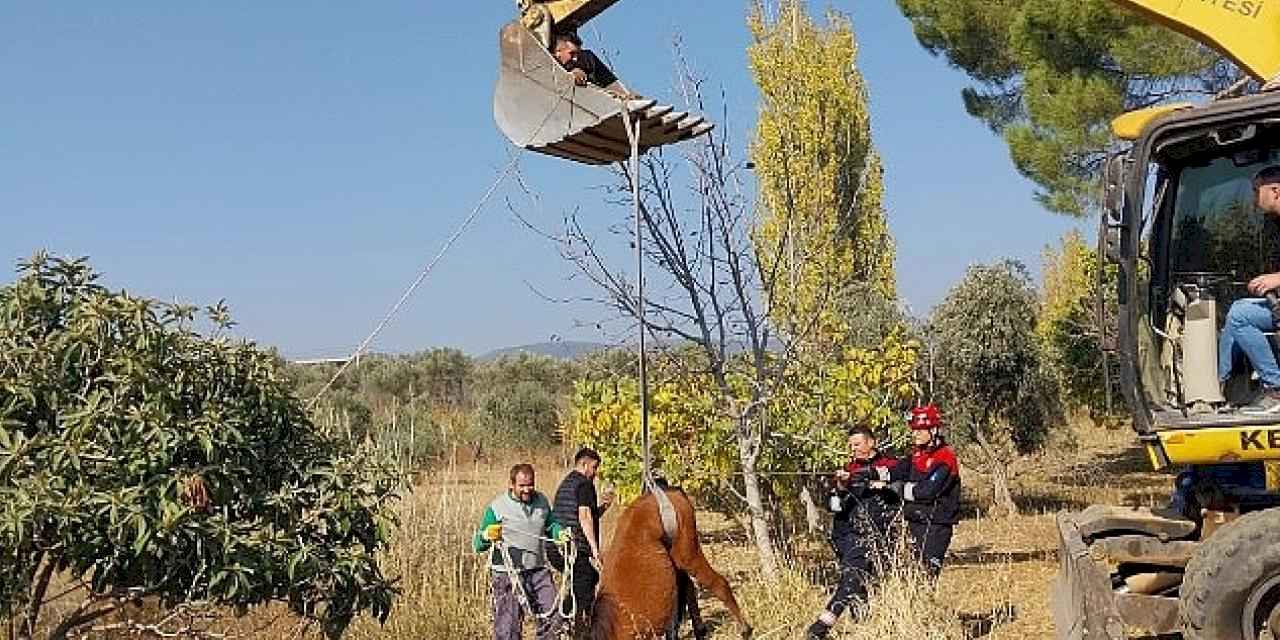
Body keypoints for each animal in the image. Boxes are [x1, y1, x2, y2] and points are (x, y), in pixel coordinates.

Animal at [588, 486, 747, 637]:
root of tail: (670, 493)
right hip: (676, 560)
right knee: (689, 588)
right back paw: (701, 630)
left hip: (687, 554)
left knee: (718, 584)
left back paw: (745, 628)